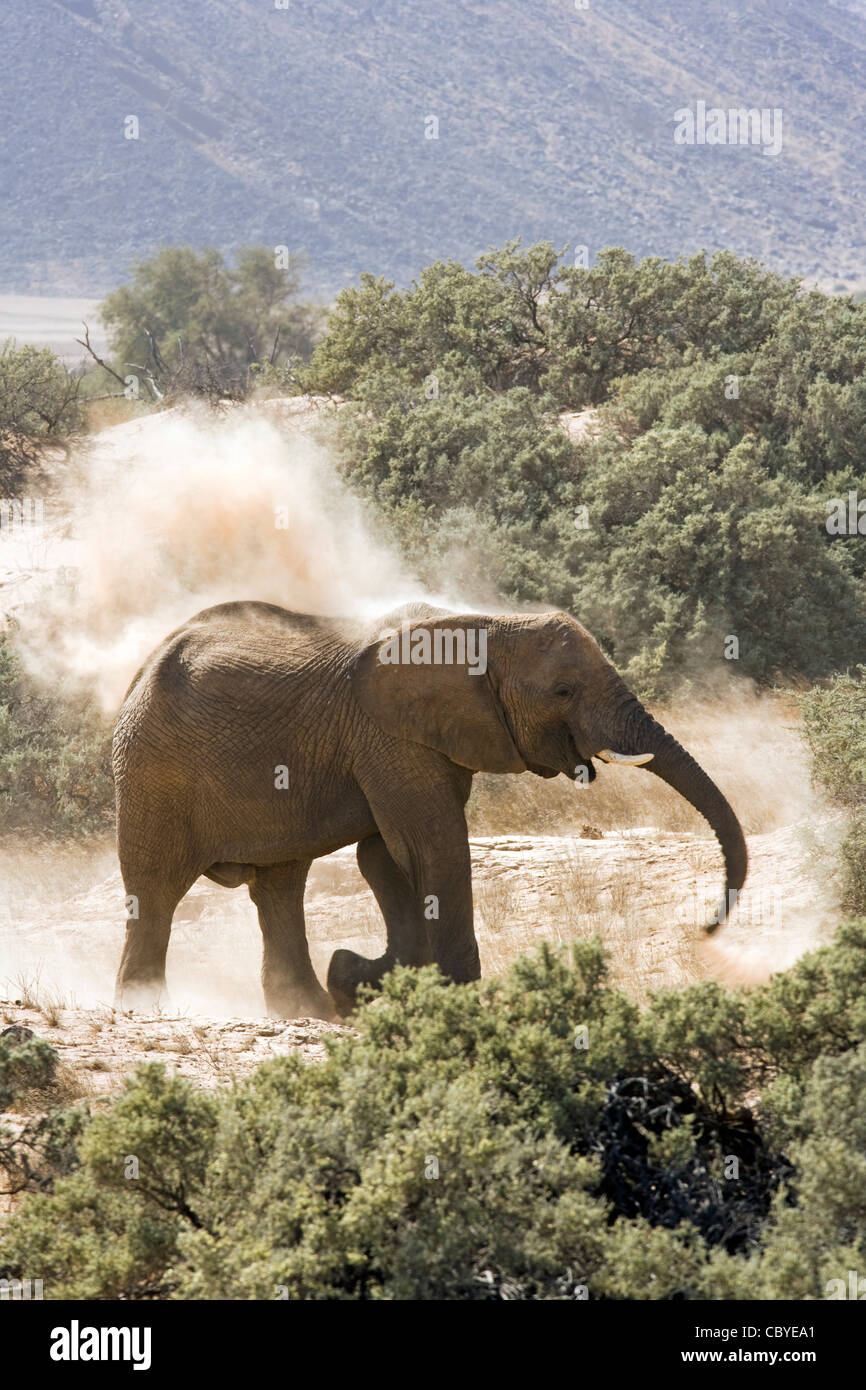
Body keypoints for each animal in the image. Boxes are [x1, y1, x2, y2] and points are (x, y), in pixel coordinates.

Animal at [111, 597, 750, 1023]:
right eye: (564, 692)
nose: (704, 926)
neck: (483, 623)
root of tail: (139, 671)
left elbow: (385, 855)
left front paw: (364, 977)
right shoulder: (389, 736)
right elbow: (430, 844)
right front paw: (455, 999)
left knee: (280, 886)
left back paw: (313, 1010)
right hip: (151, 770)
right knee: (157, 889)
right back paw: (144, 1007)